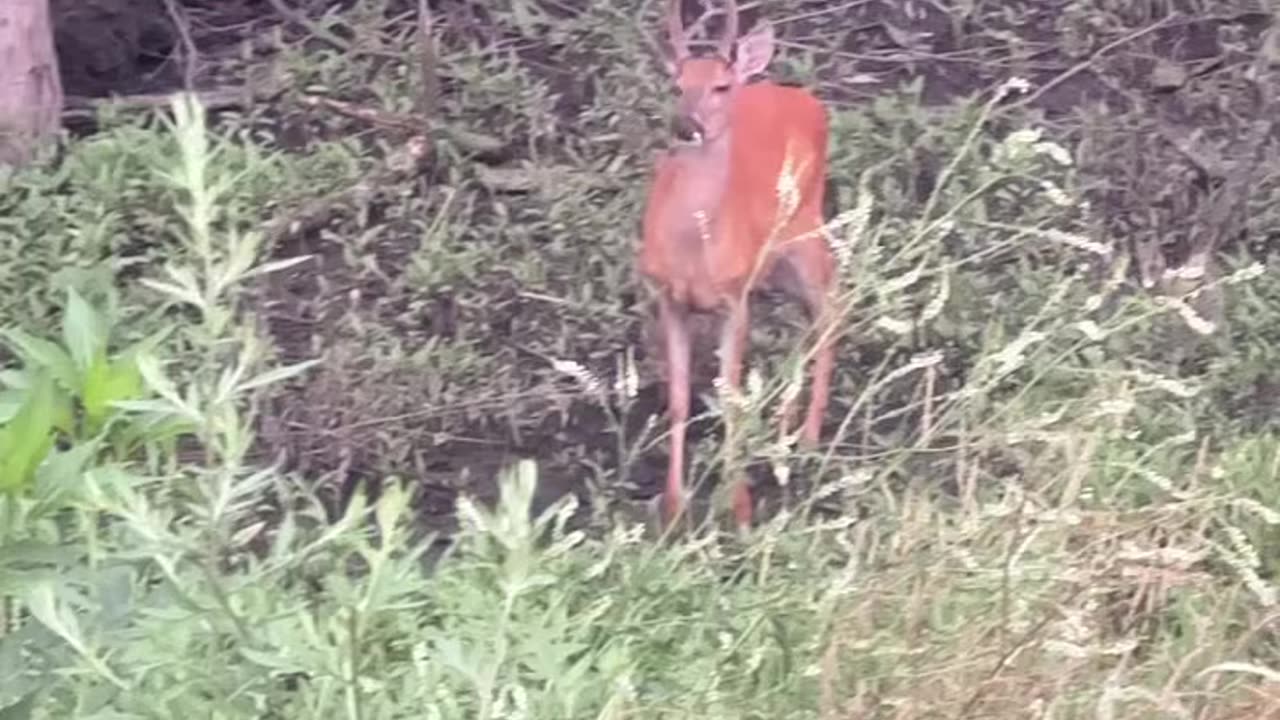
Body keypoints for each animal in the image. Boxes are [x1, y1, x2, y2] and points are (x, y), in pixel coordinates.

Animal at [638, 0, 836, 530]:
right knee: (808, 321)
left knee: (834, 310)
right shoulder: (667, 296)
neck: (693, 252)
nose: (686, 126)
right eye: (676, 83)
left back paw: (809, 439)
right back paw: (786, 426)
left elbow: (730, 394)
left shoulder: (735, 298)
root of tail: (802, 98)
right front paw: (673, 509)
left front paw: (739, 507)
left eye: (721, 87)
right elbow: (680, 400)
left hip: (806, 230)